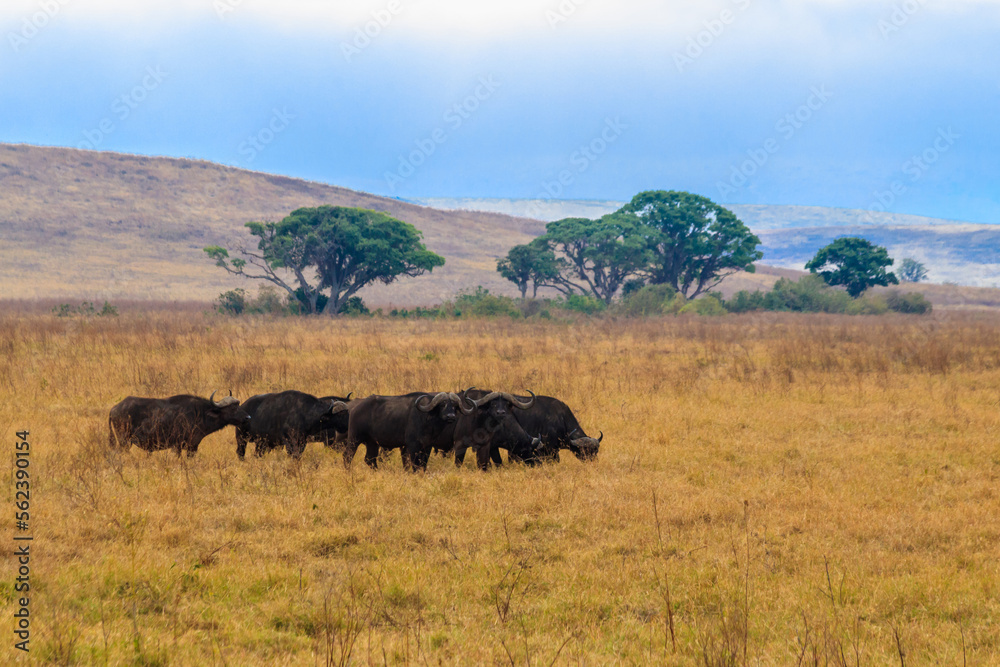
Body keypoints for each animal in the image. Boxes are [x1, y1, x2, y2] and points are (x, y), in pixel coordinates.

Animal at [107, 392, 250, 460]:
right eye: (233, 407)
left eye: (238, 404)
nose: (247, 417)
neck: (199, 413)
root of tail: (114, 408)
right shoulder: (178, 446)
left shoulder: (193, 446)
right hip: (124, 441)